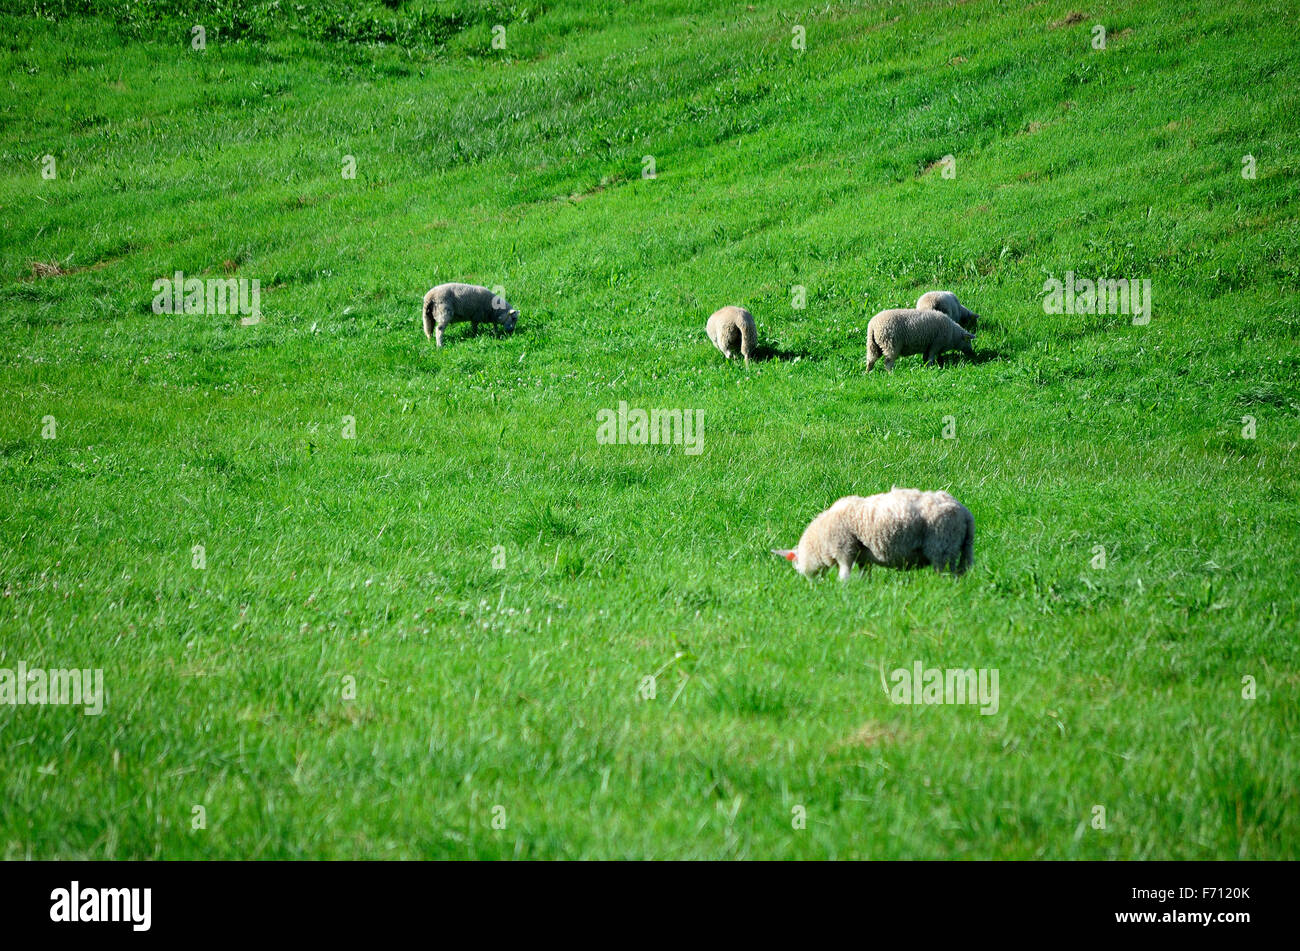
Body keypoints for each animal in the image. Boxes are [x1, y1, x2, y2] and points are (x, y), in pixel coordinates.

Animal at [773, 488, 974, 580]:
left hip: (940, 545)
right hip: (956, 547)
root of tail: (965, 513)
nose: (812, 585)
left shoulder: (845, 549)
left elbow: (845, 572)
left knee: (943, 571)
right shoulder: (863, 555)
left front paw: (842, 587)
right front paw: (865, 585)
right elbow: (865, 572)